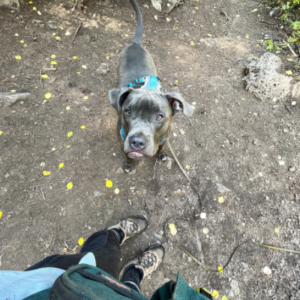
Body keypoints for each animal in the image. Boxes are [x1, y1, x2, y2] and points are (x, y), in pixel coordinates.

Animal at [108, 0, 195, 173]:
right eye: (127, 112)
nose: (137, 141)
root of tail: (135, 44)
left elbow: (161, 148)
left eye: (159, 117)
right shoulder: (122, 143)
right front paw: (129, 165)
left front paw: (162, 155)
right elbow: (128, 155)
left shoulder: (164, 138)